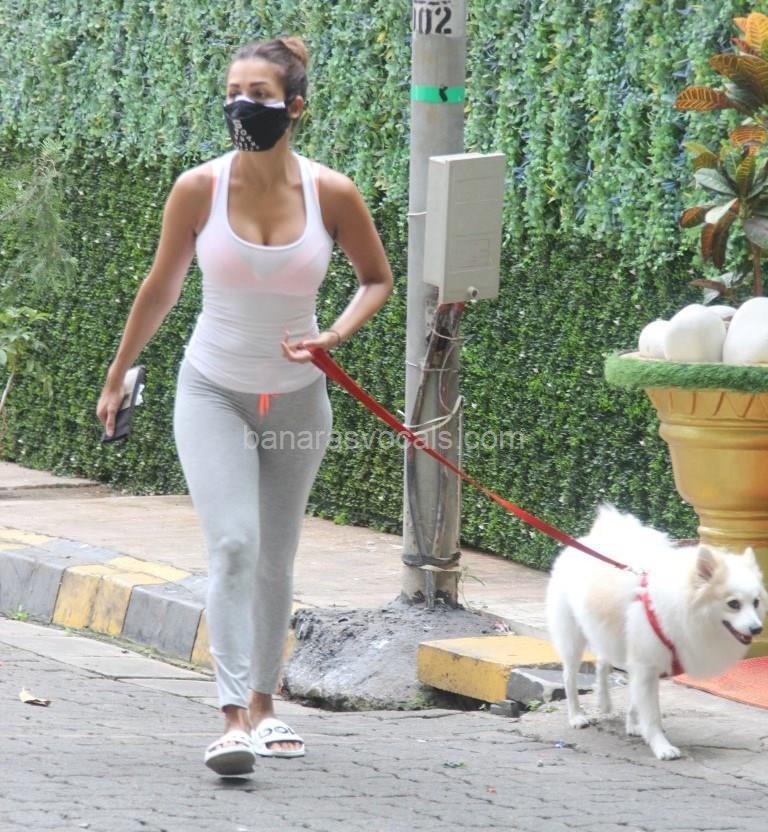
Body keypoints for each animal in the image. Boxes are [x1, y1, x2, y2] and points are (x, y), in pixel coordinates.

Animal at [546, 504, 767, 760]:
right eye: (733, 604)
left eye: (755, 602)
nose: (757, 628)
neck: (684, 605)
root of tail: (585, 542)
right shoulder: (646, 664)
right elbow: (651, 713)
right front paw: (660, 745)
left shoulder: (647, 663)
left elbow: (637, 702)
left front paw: (634, 725)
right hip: (573, 638)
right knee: (569, 677)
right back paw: (576, 716)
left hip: (609, 635)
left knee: (602, 662)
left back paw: (604, 703)